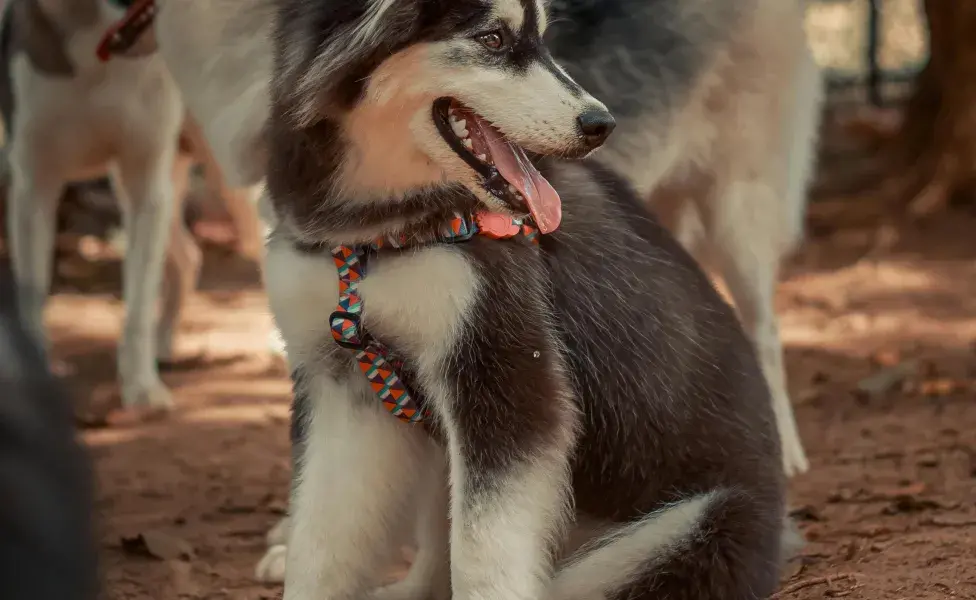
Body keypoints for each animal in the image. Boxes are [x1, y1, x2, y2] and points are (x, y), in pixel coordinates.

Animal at [255, 1, 788, 600]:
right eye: (493, 38)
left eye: (544, 38)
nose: (601, 125)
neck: (381, 234)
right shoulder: (344, 381)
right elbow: (319, 546)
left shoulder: (504, 372)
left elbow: (482, 555)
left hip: (681, 533)